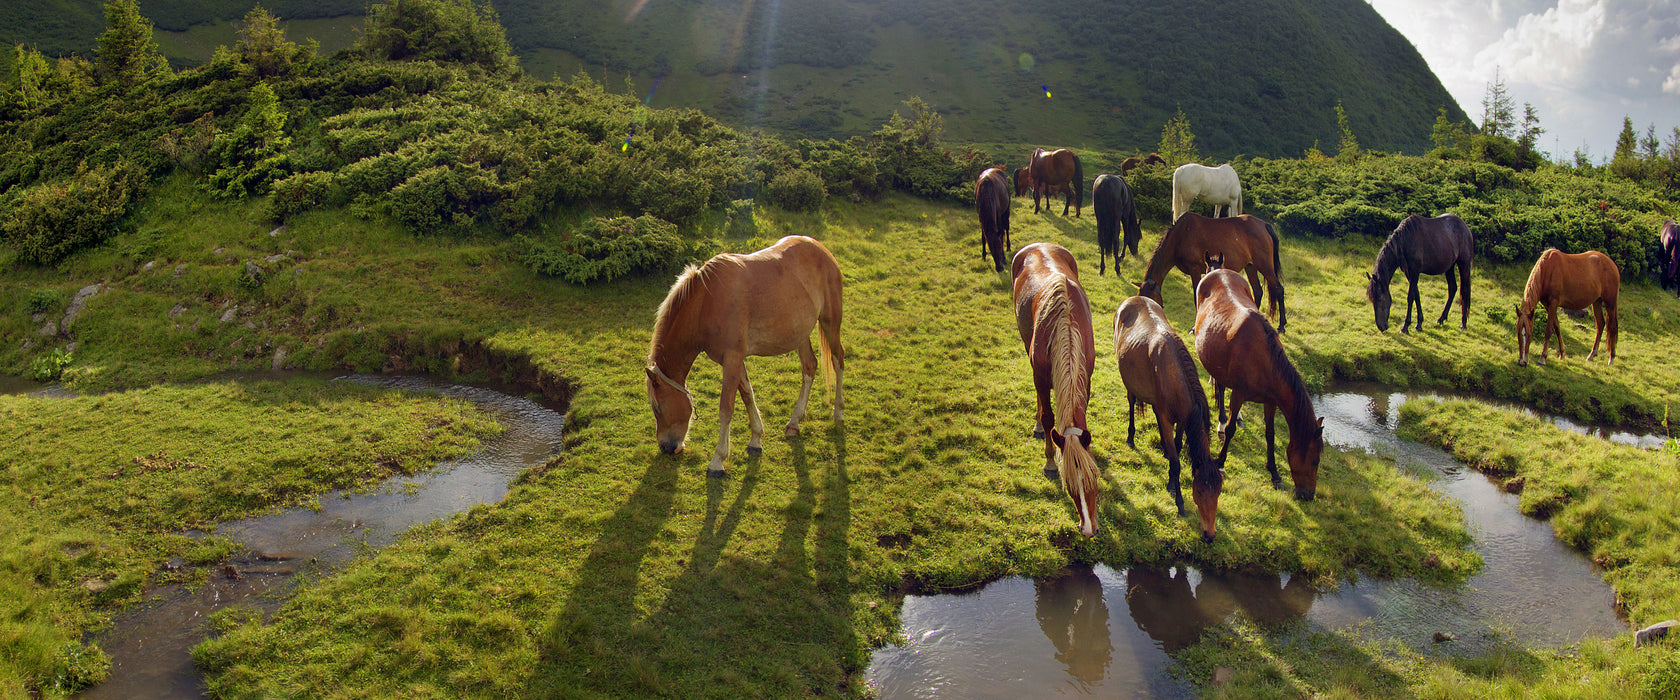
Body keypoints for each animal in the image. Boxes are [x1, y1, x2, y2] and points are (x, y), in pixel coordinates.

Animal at [648, 236, 846, 473]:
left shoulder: (732, 359)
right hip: (800, 334)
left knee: (838, 360)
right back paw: (794, 422)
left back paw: (838, 413)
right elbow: (747, 395)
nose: (666, 447)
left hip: (830, 322)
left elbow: (726, 408)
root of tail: (821, 249)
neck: (706, 302)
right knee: (810, 366)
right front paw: (756, 440)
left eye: (658, 407)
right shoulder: (734, 360)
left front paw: (718, 460)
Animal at [1007, 240, 1102, 533]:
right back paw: (1038, 425)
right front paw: (1050, 461)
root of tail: (1039, 244)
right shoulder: (1040, 376)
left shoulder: (1086, 378)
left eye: (1094, 479)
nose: (1088, 530)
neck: (1066, 324)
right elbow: (1049, 418)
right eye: (1070, 485)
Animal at [1115, 295, 1223, 540]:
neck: (1174, 374)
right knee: (1131, 402)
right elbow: (1176, 462)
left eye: (1219, 492)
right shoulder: (1166, 418)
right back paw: (1130, 436)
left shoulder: (1183, 418)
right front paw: (1179, 501)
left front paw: (1171, 479)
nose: (1210, 535)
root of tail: (1134, 297)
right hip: (1129, 385)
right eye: (1198, 490)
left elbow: (1177, 444)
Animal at [1142, 209, 1283, 332]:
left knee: (1279, 289)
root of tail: (1264, 225)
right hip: (1250, 266)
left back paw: (1281, 326)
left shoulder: (1195, 270)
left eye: (1151, 300)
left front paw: (1194, 327)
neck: (1181, 236)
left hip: (1265, 266)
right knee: (1258, 291)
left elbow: (1196, 297)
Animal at [1196, 265, 1323, 500]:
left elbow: (1270, 435)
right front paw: (1220, 461)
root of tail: (1218, 269)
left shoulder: (1270, 401)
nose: (1308, 495)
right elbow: (1231, 430)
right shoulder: (1238, 394)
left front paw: (1274, 473)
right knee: (1220, 388)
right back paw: (1221, 420)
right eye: (1314, 460)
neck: (1263, 360)